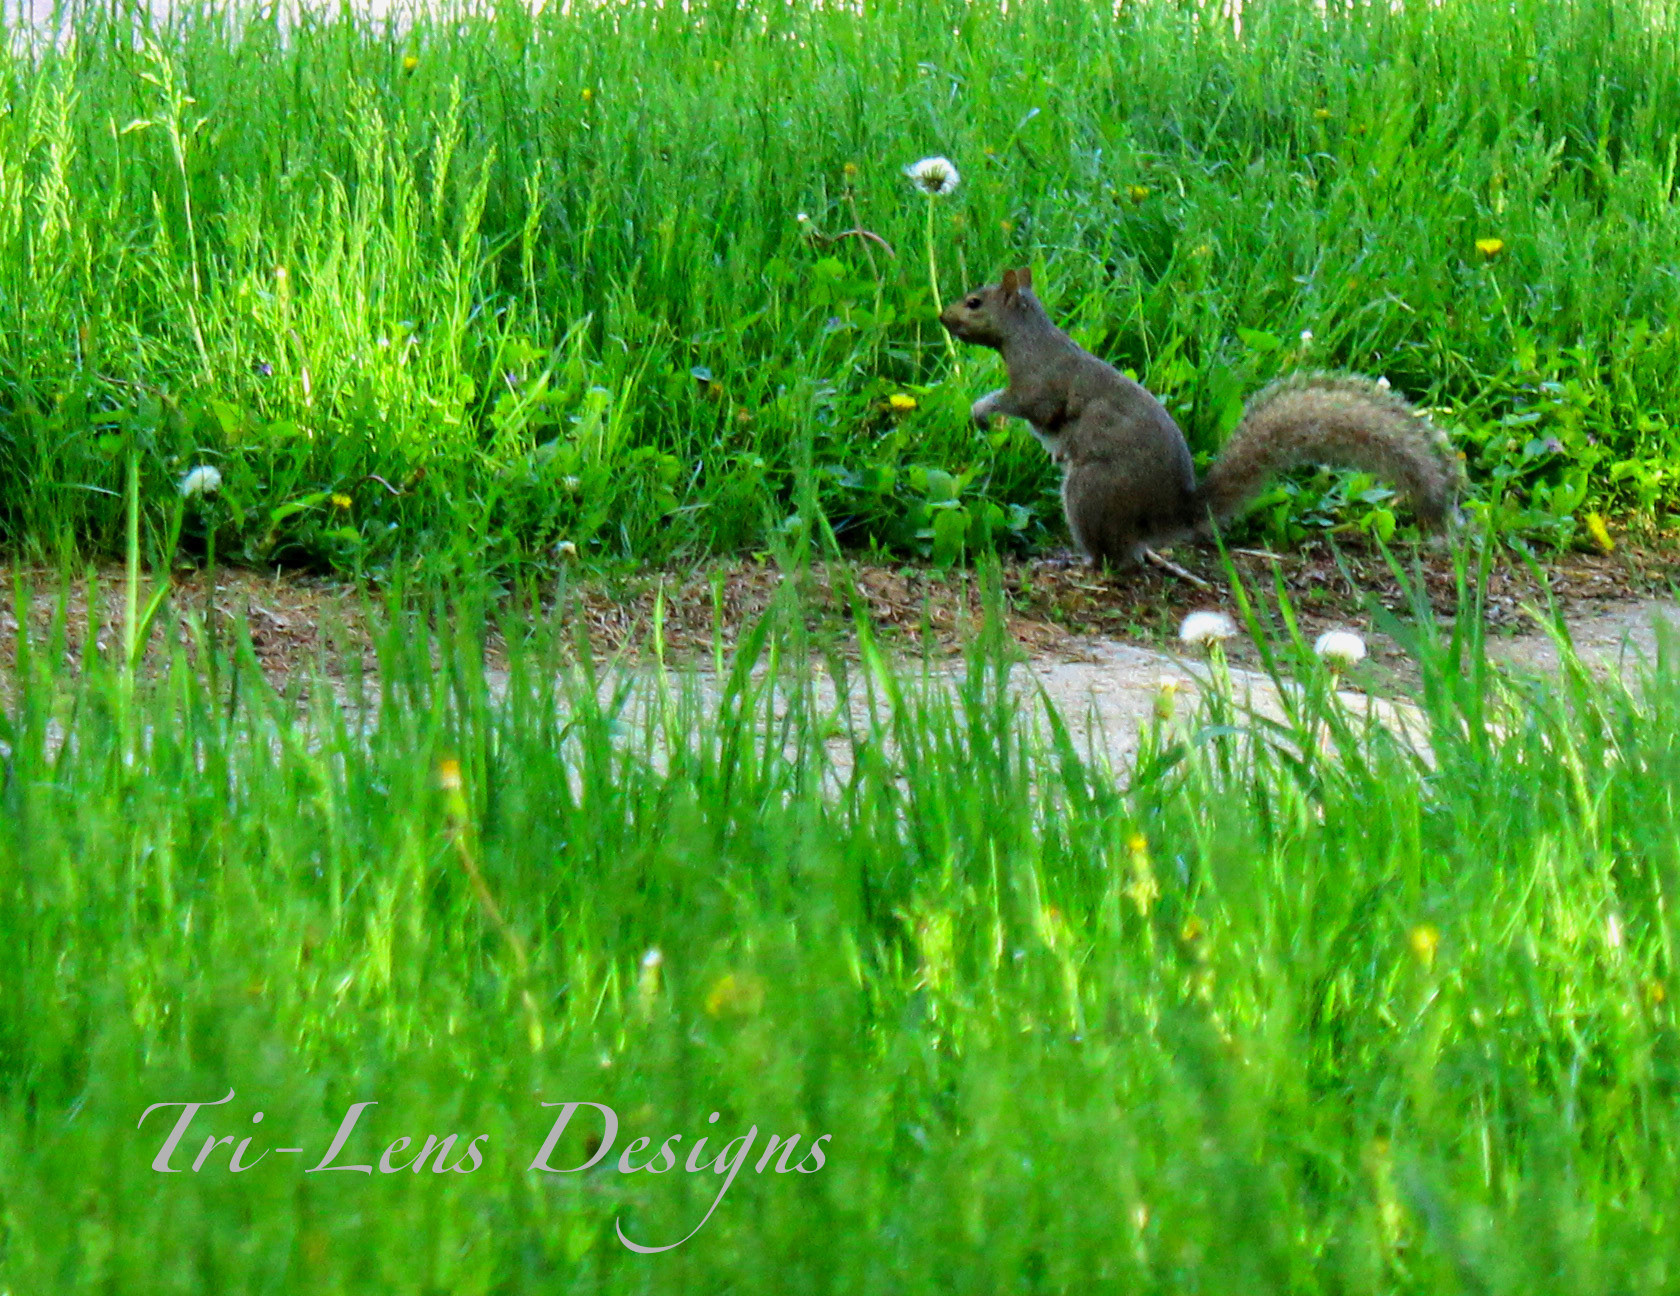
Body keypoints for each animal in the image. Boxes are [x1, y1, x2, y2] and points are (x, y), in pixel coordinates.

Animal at [939, 266, 1465, 569]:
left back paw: (1074, 561)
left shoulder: (1040, 386)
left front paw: (982, 411)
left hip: (1090, 493)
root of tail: (1170, 515)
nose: (943, 318)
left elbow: (1031, 407)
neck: (1026, 338)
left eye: (974, 302)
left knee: (1113, 558)